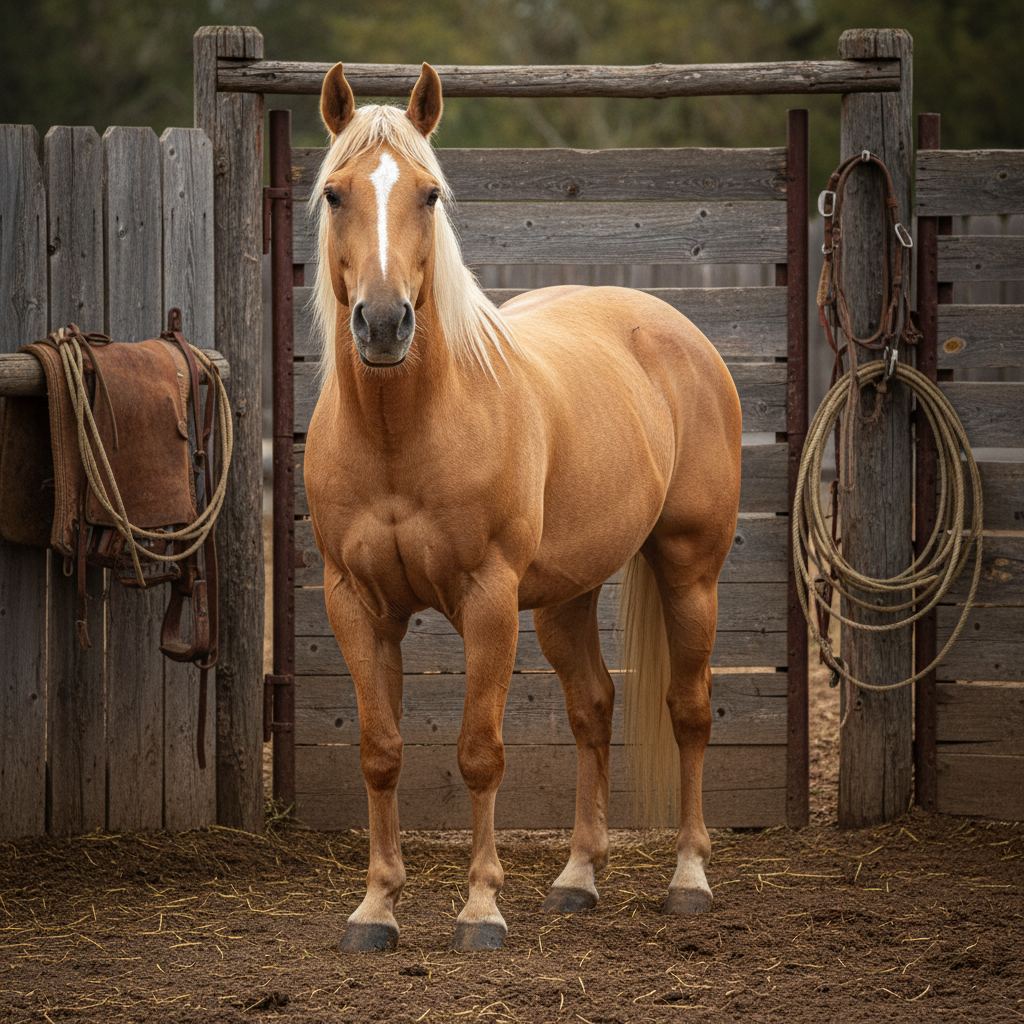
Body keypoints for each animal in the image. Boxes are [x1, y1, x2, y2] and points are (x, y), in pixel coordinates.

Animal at [303, 61, 742, 952]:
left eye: (429, 194)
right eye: (335, 193)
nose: (383, 322)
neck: (404, 433)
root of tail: (674, 329)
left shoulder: (487, 599)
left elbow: (480, 751)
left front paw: (480, 909)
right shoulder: (356, 603)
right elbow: (380, 750)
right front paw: (376, 907)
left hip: (688, 572)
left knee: (688, 711)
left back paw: (688, 878)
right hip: (566, 598)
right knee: (592, 707)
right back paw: (577, 878)